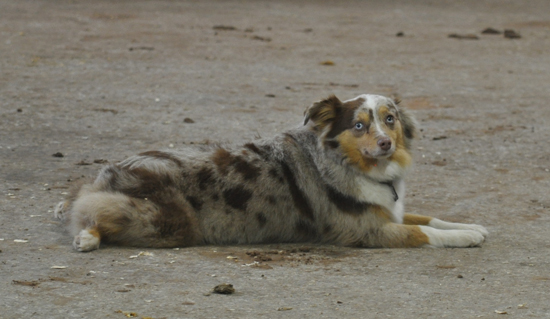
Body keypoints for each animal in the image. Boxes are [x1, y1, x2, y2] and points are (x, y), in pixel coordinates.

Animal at [55, 95, 488, 252]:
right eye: (359, 125)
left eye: (390, 119)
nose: (385, 144)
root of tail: (112, 169)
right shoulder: (365, 230)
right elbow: (423, 231)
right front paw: (465, 237)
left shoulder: (388, 210)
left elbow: (428, 216)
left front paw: (472, 225)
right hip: (170, 221)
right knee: (90, 208)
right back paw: (87, 236)